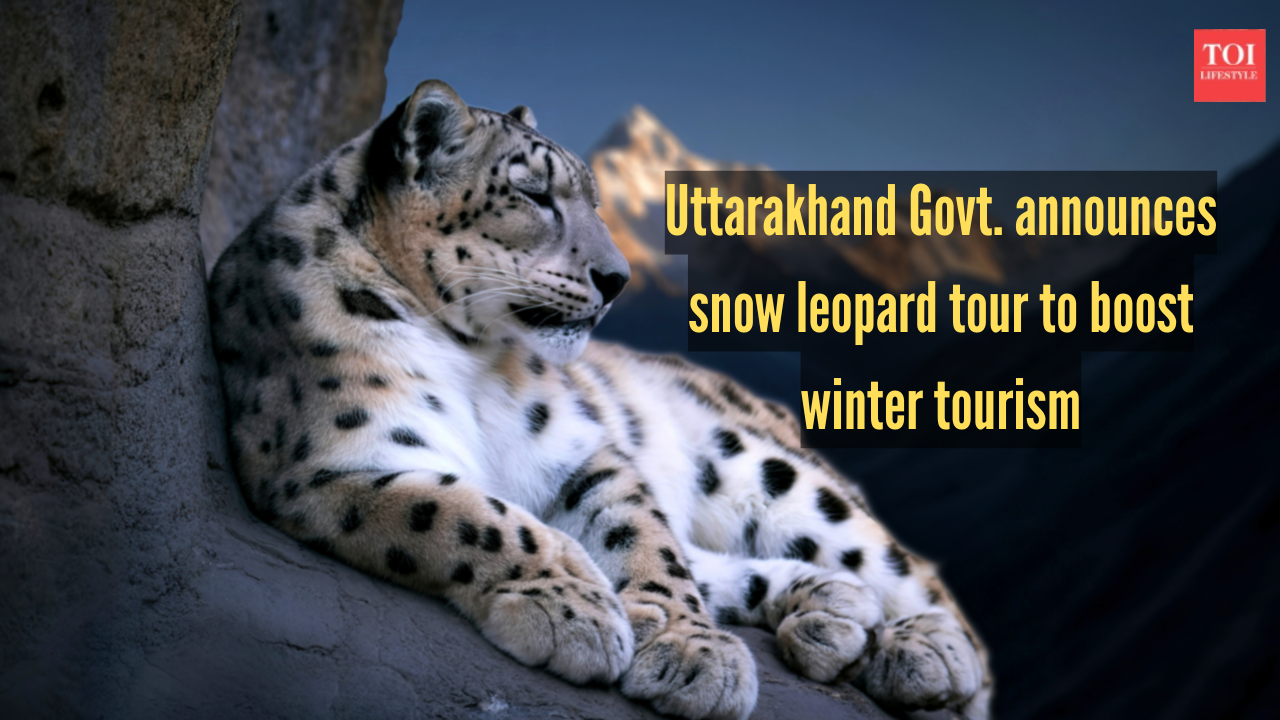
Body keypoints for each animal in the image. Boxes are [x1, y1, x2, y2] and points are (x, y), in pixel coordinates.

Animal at [207, 79, 993, 720]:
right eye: (533, 194)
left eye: (593, 200)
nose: (617, 278)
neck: (468, 356)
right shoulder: (338, 462)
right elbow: (471, 514)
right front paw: (578, 611)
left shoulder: (580, 452)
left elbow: (643, 539)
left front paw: (688, 651)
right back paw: (832, 610)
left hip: (767, 470)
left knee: (913, 577)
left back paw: (916, 650)